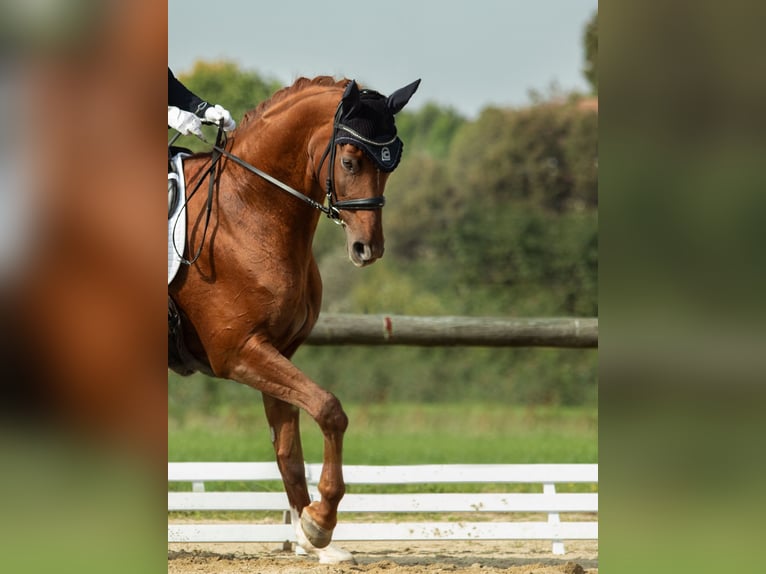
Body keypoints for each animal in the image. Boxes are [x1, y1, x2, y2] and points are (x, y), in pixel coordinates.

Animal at [170, 75, 420, 564]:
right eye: (349, 161)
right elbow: (329, 409)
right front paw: (320, 521)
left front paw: (312, 536)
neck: (248, 210)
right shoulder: (239, 352)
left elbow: (288, 448)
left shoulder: (276, 350)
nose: (368, 249)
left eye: (392, 163)